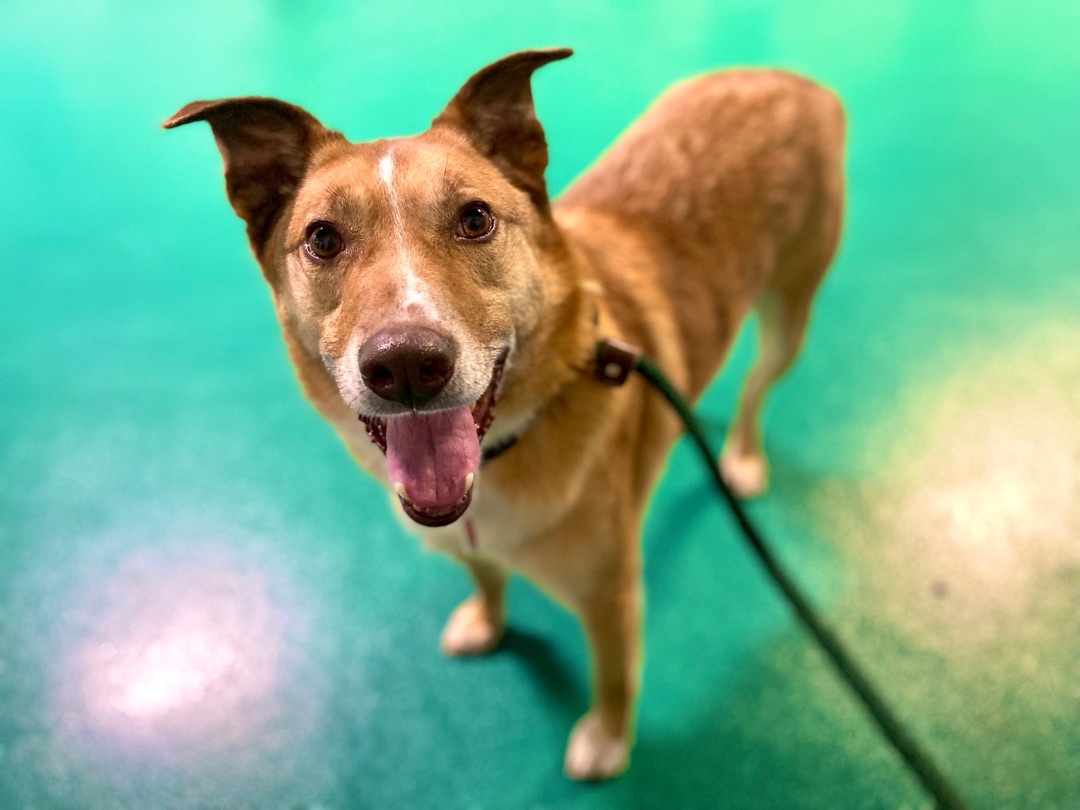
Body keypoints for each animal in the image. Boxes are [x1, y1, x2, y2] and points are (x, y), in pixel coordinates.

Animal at [164, 49, 846, 781]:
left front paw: (608, 739)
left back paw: (742, 457)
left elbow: (614, 677)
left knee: (756, 384)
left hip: (789, 314)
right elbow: (486, 574)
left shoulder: (612, 595)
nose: (407, 365)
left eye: (475, 219)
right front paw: (488, 621)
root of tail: (787, 78)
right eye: (322, 238)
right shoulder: (467, 541)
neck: (503, 454)